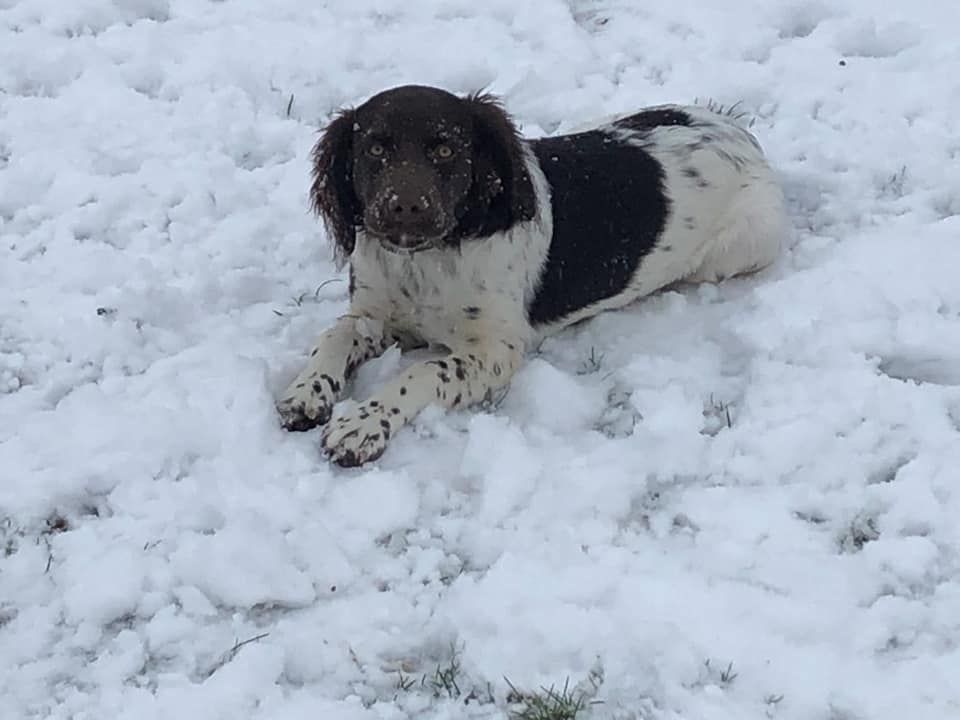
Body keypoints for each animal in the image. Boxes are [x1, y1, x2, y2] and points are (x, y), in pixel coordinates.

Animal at [278, 84, 788, 466]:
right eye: (374, 148)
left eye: (444, 148)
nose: (404, 208)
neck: (424, 259)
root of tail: (739, 131)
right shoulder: (372, 313)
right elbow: (333, 337)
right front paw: (306, 391)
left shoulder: (496, 349)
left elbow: (424, 370)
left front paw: (362, 424)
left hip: (745, 244)